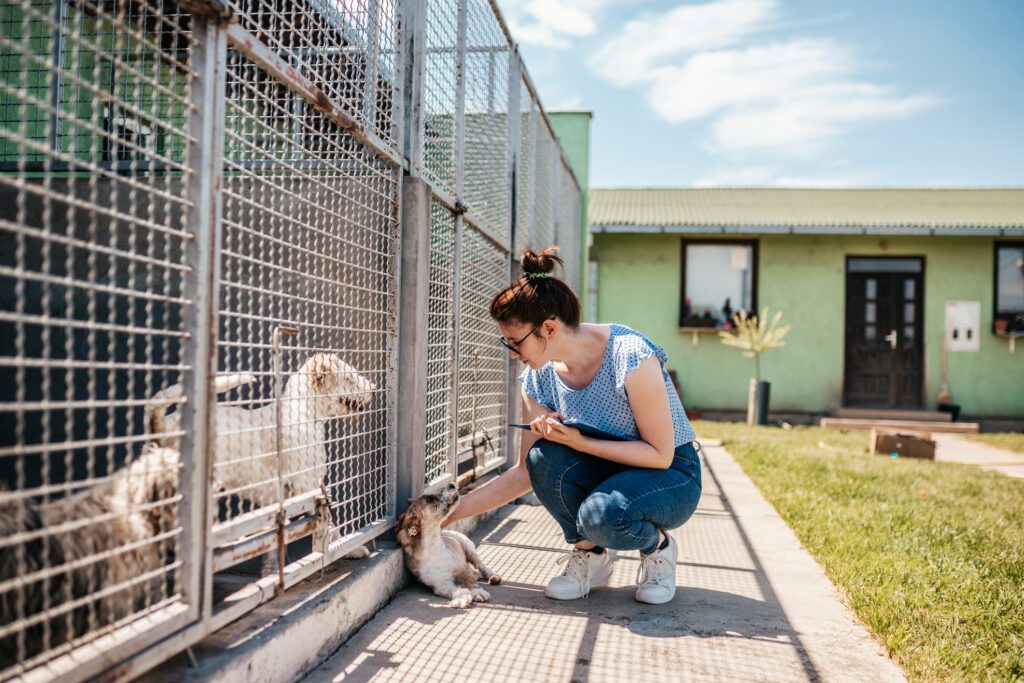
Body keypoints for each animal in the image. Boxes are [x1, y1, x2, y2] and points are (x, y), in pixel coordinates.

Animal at [395, 481, 499, 610]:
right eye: (429, 499)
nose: (451, 484)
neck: (434, 548)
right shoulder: (441, 584)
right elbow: (456, 590)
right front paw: (461, 599)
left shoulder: (462, 568)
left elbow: (468, 582)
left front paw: (476, 592)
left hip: (469, 549)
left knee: (481, 566)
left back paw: (492, 576)